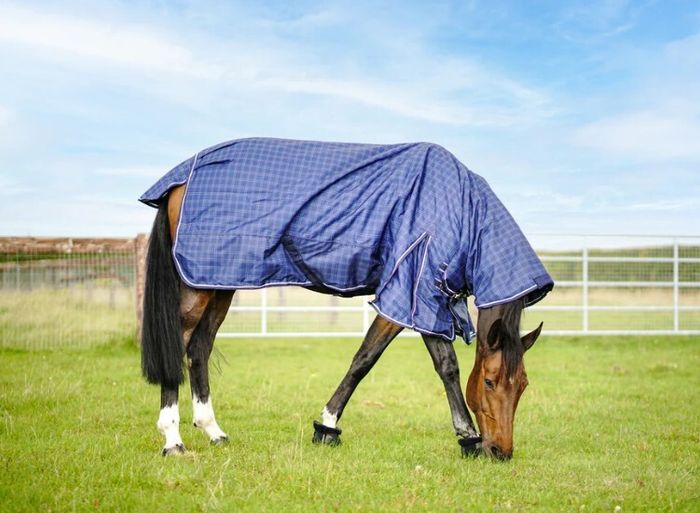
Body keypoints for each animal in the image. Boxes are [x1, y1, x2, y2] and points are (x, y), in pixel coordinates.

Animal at [139, 138, 553, 459]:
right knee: (182, 344)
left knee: (199, 349)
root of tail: (179, 181)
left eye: (523, 385)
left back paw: (213, 431)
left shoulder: (421, 299)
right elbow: (378, 361)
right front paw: (327, 426)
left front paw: (466, 437)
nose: (501, 451)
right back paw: (173, 440)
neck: (461, 211)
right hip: (198, 287)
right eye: (490, 382)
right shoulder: (408, 293)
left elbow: (427, 363)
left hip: (219, 284)